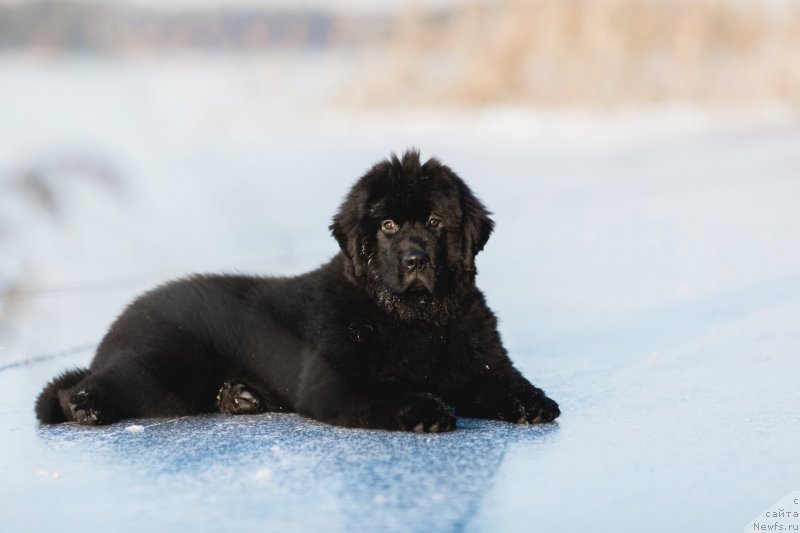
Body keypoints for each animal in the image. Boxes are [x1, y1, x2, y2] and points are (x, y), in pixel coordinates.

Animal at [36, 150, 556, 432]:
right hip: (160, 359)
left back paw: (238, 397)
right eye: (388, 225)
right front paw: (426, 409)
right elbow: (388, 386)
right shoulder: (337, 374)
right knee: (75, 389)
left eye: (433, 222)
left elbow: (503, 381)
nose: (415, 260)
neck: (416, 316)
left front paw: (533, 402)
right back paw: (85, 405)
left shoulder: (481, 362)